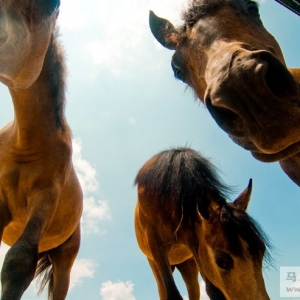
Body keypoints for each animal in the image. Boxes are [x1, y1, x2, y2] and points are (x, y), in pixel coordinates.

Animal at [135, 148, 270, 300]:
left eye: (262, 250)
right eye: (221, 261)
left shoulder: (195, 242)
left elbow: (213, 291)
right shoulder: (156, 246)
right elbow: (172, 294)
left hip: (188, 265)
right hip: (155, 264)